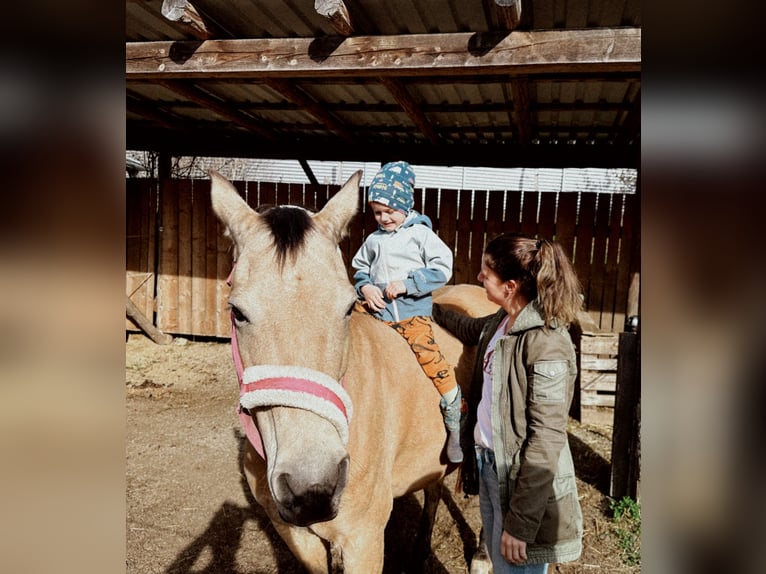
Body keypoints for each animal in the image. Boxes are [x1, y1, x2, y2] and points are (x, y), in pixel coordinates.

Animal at [210, 169, 492, 572]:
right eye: (237, 311)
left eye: (346, 308)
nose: (313, 488)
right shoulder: (294, 533)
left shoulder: (364, 538)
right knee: (434, 486)